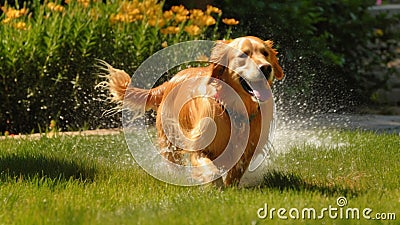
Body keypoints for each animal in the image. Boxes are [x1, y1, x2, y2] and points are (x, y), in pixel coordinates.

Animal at [103, 36, 284, 185]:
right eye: (243, 55)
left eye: (265, 53)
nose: (266, 68)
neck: (235, 108)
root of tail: (169, 82)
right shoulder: (199, 146)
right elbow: (211, 171)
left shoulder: (247, 148)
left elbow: (235, 172)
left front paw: (229, 187)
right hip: (170, 138)